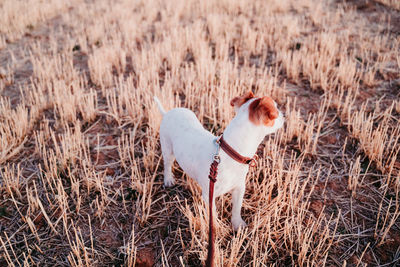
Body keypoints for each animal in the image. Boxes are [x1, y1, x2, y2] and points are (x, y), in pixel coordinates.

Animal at [154, 92, 284, 230]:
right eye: (276, 109)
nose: (283, 115)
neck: (230, 152)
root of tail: (168, 113)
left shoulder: (239, 188)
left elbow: (236, 209)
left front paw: (238, 224)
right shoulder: (209, 197)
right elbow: (213, 216)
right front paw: (216, 229)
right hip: (168, 149)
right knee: (167, 165)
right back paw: (168, 179)